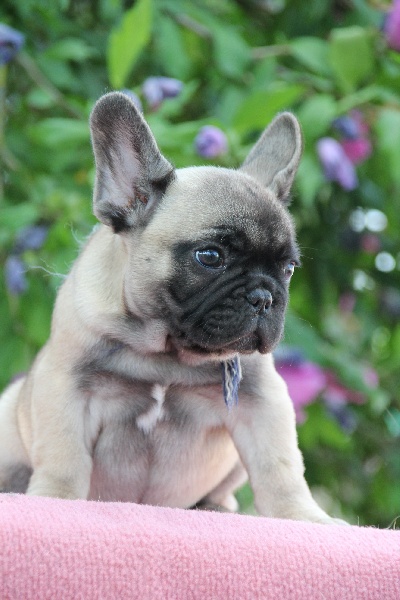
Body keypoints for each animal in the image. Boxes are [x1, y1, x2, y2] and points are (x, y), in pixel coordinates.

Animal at [0, 92, 342, 523]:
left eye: (289, 268)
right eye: (210, 256)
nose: (264, 297)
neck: (166, 353)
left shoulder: (263, 400)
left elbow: (280, 467)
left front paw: (303, 516)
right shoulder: (64, 386)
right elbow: (64, 455)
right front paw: (54, 500)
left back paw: (216, 507)